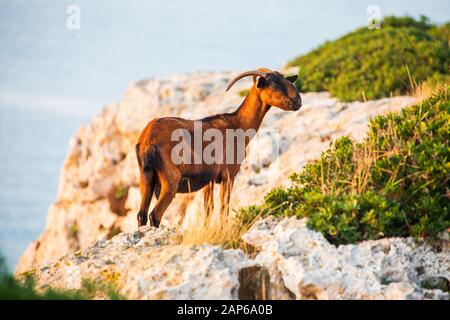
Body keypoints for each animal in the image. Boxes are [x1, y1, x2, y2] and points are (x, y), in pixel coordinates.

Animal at [135, 67, 300, 228]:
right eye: (272, 84)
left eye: (285, 79)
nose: (298, 101)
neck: (237, 124)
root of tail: (148, 140)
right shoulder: (228, 175)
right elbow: (223, 208)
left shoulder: (209, 180)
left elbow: (208, 209)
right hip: (170, 180)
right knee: (154, 215)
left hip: (146, 178)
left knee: (141, 215)